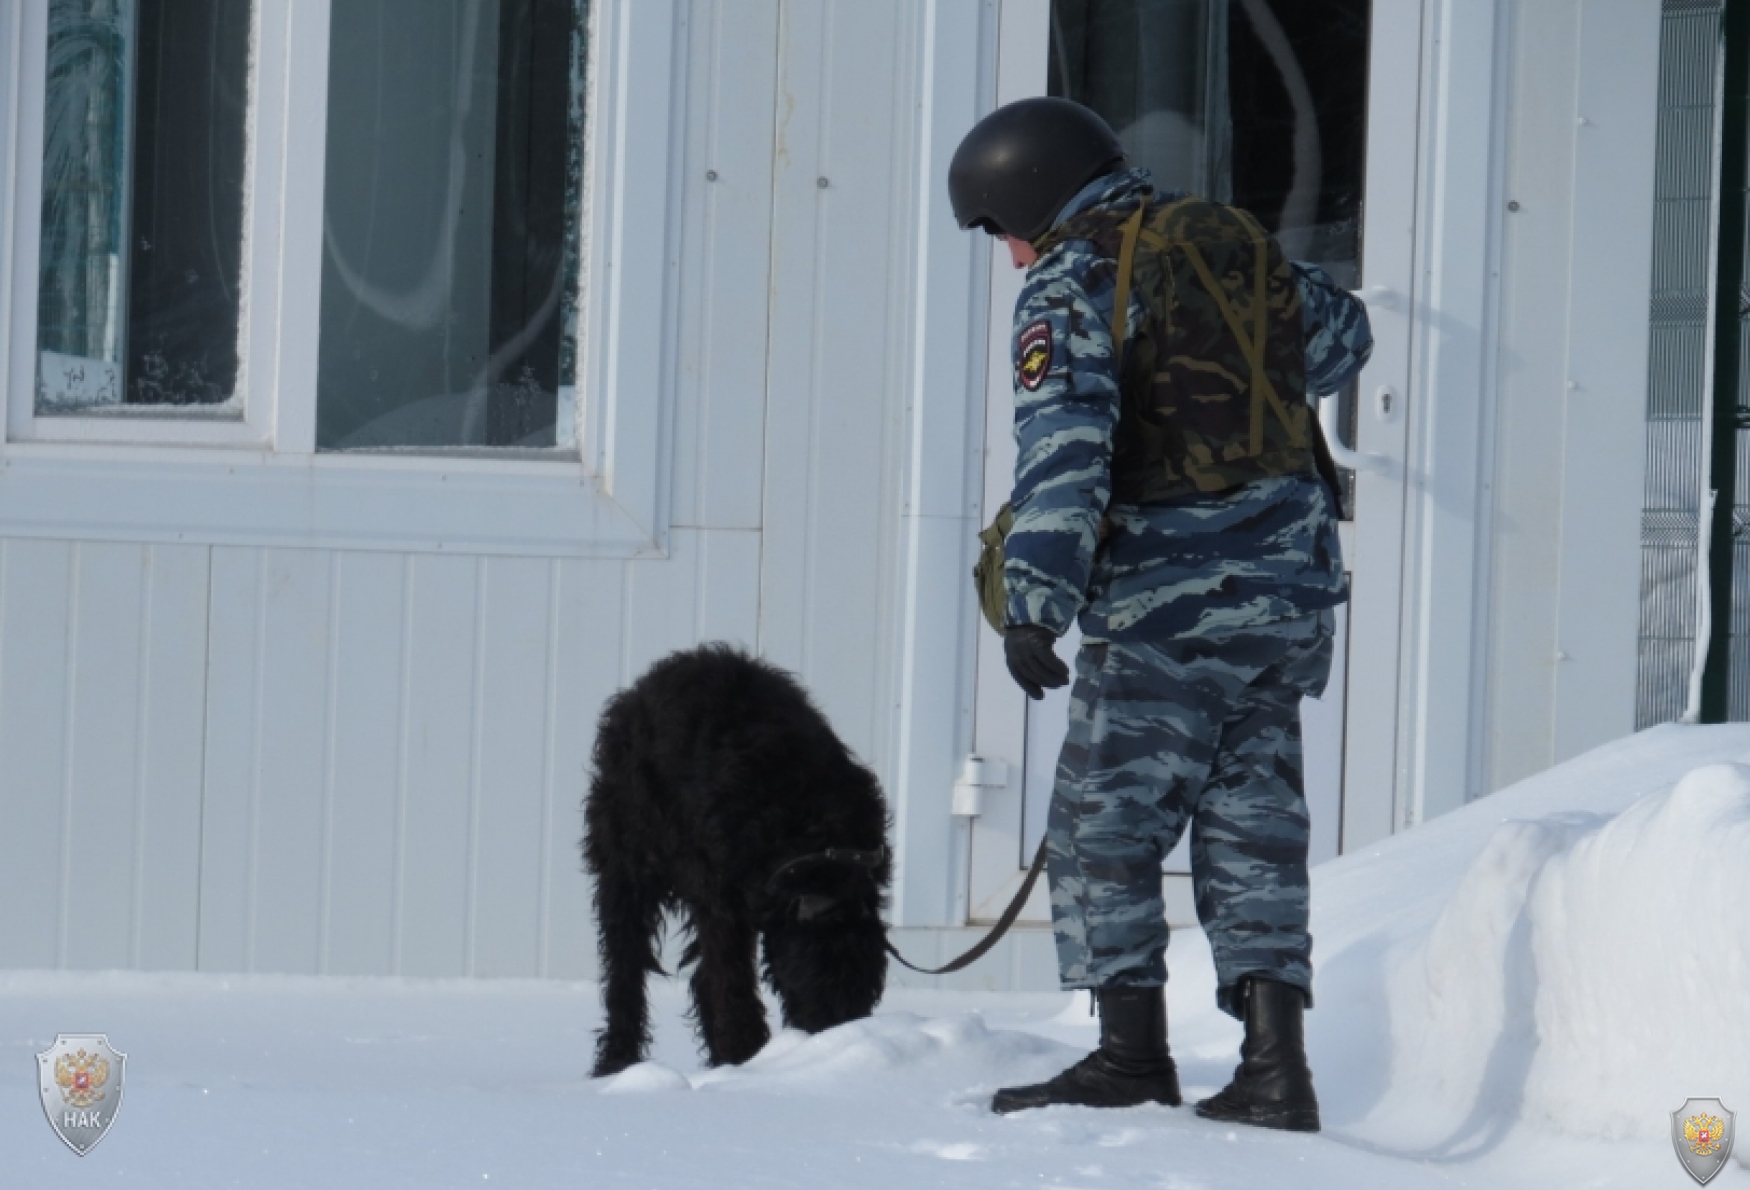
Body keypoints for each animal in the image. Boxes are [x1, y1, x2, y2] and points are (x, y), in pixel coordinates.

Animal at [584, 647, 889, 1071]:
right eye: (820, 980)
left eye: (864, 988)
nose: (834, 1037)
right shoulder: (724, 904)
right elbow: (730, 985)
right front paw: (744, 1055)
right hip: (626, 867)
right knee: (625, 966)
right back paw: (617, 1060)